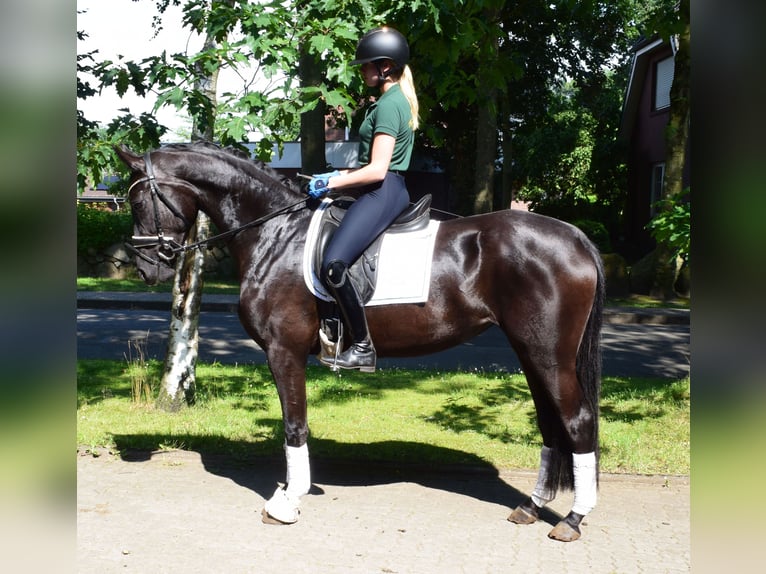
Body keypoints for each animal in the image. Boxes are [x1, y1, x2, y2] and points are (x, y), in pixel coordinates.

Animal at [115, 144, 608, 544]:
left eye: (138, 200)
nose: (146, 269)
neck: (276, 235)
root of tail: (577, 237)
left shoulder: (283, 351)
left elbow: (295, 426)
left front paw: (288, 502)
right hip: (532, 352)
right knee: (551, 423)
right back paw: (531, 506)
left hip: (548, 354)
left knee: (578, 421)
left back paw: (573, 519)